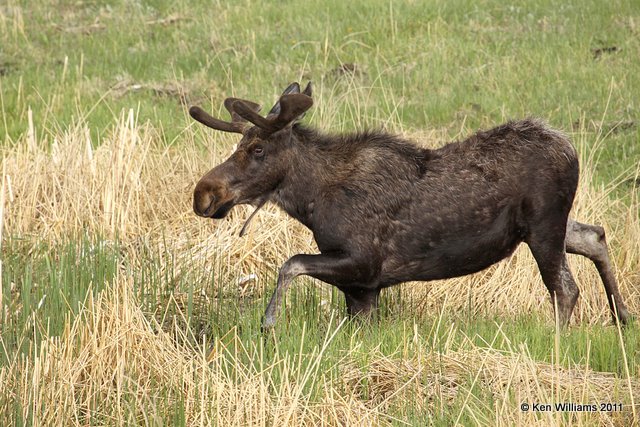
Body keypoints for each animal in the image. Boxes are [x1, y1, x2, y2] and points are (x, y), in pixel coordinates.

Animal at [189, 83, 632, 332]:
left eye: (257, 149)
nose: (203, 194)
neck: (312, 202)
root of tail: (570, 147)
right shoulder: (363, 291)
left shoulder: (363, 264)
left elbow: (290, 263)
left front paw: (268, 322)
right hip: (545, 226)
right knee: (594, 235)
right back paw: (623, 316)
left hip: (542, 226)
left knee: (566, 288)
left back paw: (558, 339)